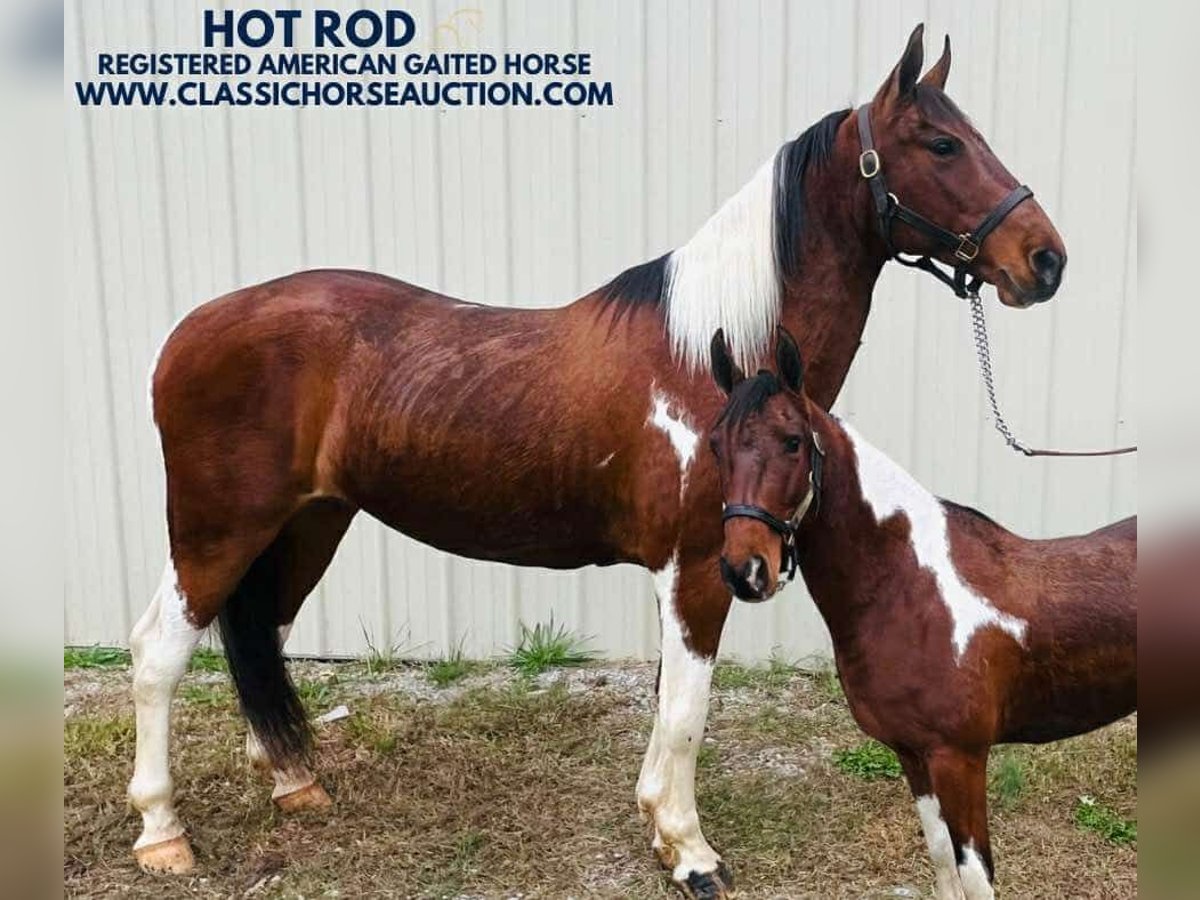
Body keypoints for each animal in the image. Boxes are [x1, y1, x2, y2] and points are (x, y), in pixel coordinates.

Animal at [129, 24, 1070, 897]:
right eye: (941, 144)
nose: (1046, 259)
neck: (715, 363)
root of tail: (186, 331)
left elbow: (667, 706)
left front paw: (661, 829)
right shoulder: (701, 569)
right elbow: (687, 711)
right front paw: (692, 854)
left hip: (309, 524)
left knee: (264, 633)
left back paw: (294, 784)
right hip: (217, 531)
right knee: (159, 652)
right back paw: (162, 833)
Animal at [705, 331, 1137, 900]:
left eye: (793, 441)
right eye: (716, 445)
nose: (746, 570)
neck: (909, 590)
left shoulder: (960, 759)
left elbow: (975, 876)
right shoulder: (912, 756)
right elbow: (941, 860)